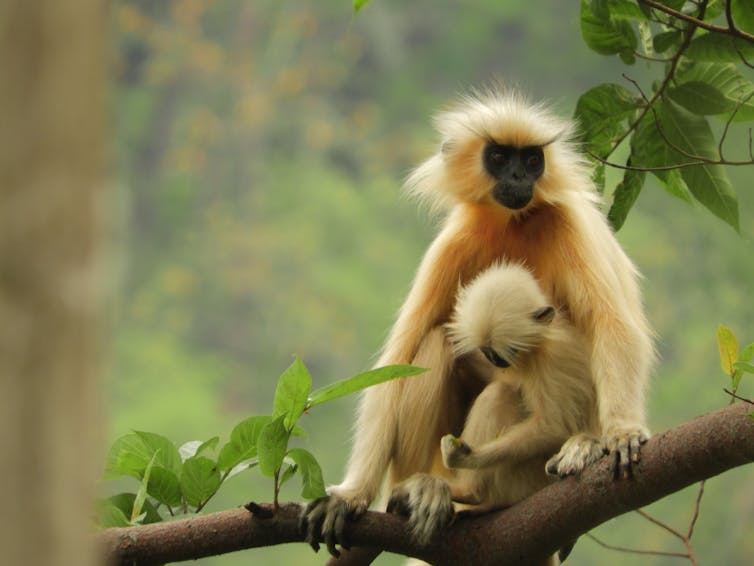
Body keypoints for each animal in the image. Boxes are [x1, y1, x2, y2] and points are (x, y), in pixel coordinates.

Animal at [302, 86, 654, 556]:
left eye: (532, 160)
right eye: (500, 157)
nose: (521, 177)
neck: (514, 224)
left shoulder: (569, 224)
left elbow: (612, 327)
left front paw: (621, 434)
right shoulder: (455, 243)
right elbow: (396, 361)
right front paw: (351, 495)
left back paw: (581, 447)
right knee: (434, 343)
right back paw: (426, 491)